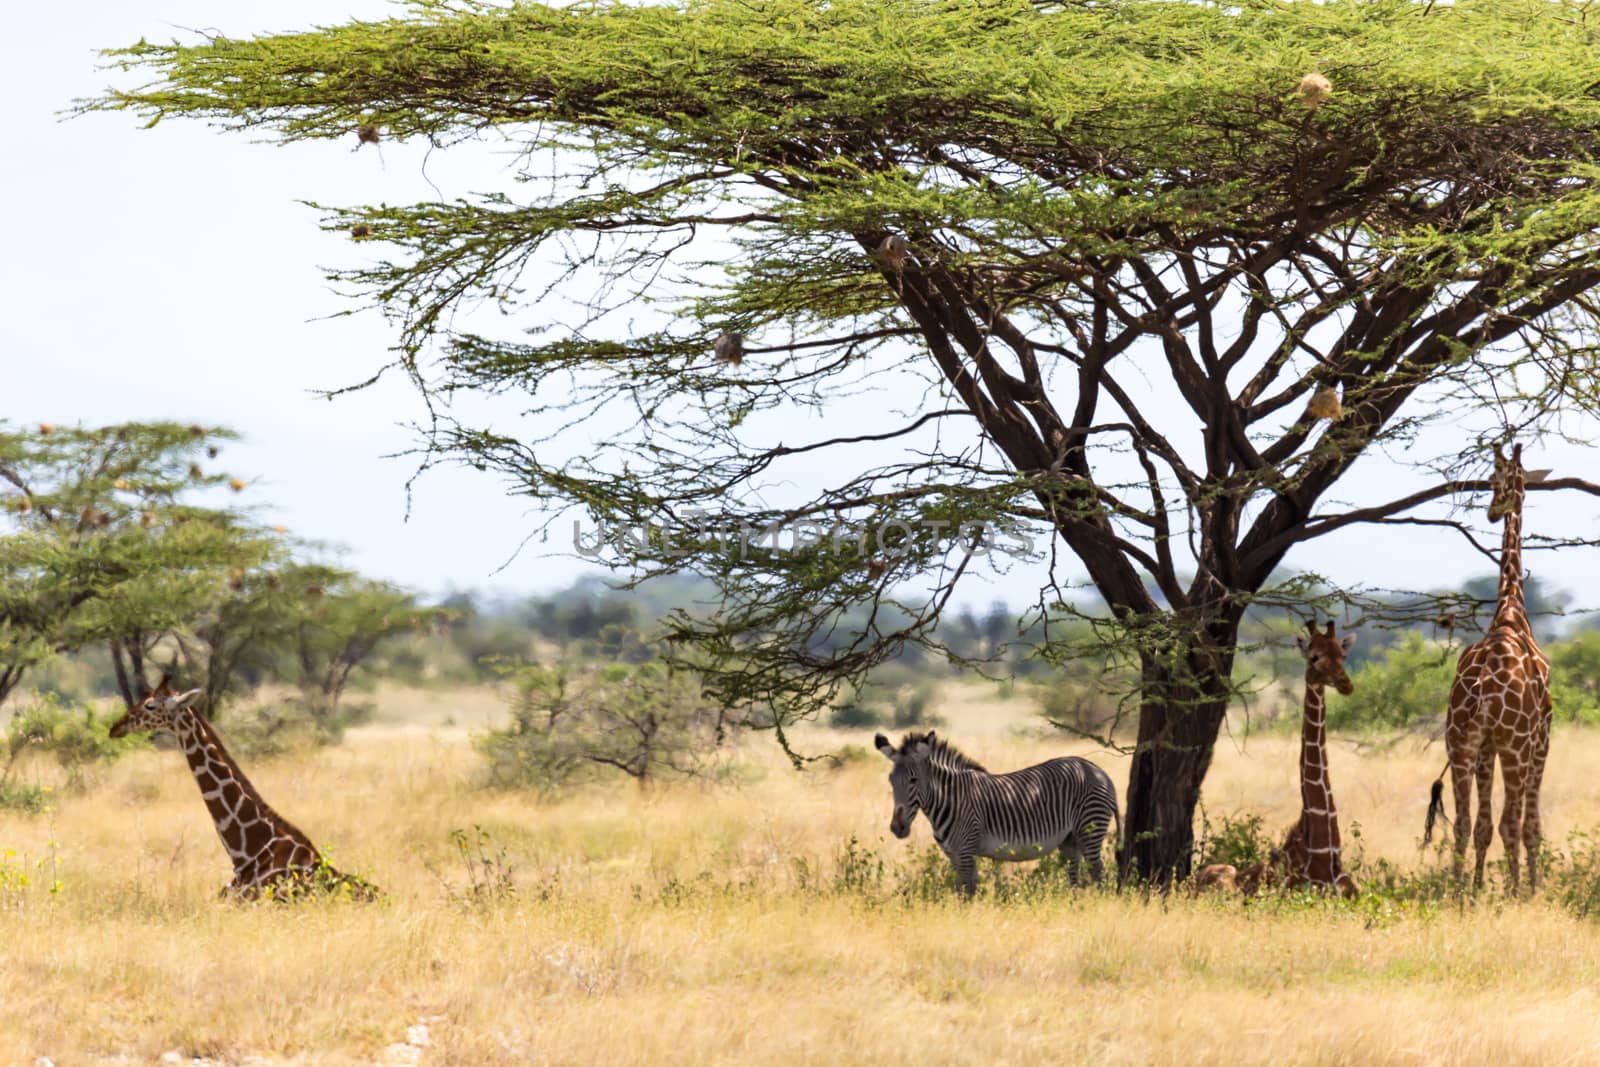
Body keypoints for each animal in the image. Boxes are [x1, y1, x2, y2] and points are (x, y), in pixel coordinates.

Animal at [876, 729, 1126, 895]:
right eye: (890, 780)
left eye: (913, 780)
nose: (897, 828)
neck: (949, 800)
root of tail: (1098, 770)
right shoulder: (954, 855)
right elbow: (962, 890)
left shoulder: (966, 851)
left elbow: (969, 891)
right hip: (1070, 839)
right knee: (1075, 873)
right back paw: (1073, 904)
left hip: (1090, 828)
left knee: (1098, 873)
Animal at [1196, 617, 1356, 902]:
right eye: (1314, 657)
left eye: (1343, 654)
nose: (1346, 685)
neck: (1324, 851)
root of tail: (1190, 883)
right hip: (1226, 878)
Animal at [1427, 441, 1548, 895]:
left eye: (1496, 478)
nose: (1494, 511)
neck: (1510, 608)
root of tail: (1483, 693)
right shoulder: (1540, 740)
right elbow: (1529, 826)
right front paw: (1531, 887)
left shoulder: (1483, 747)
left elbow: (1481, 825)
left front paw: (1479, 886)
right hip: (1513, 746)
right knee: (1511, 822)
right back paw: (1514, 894)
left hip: (1459, 742)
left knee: (1464, 823)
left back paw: (1460, 893)